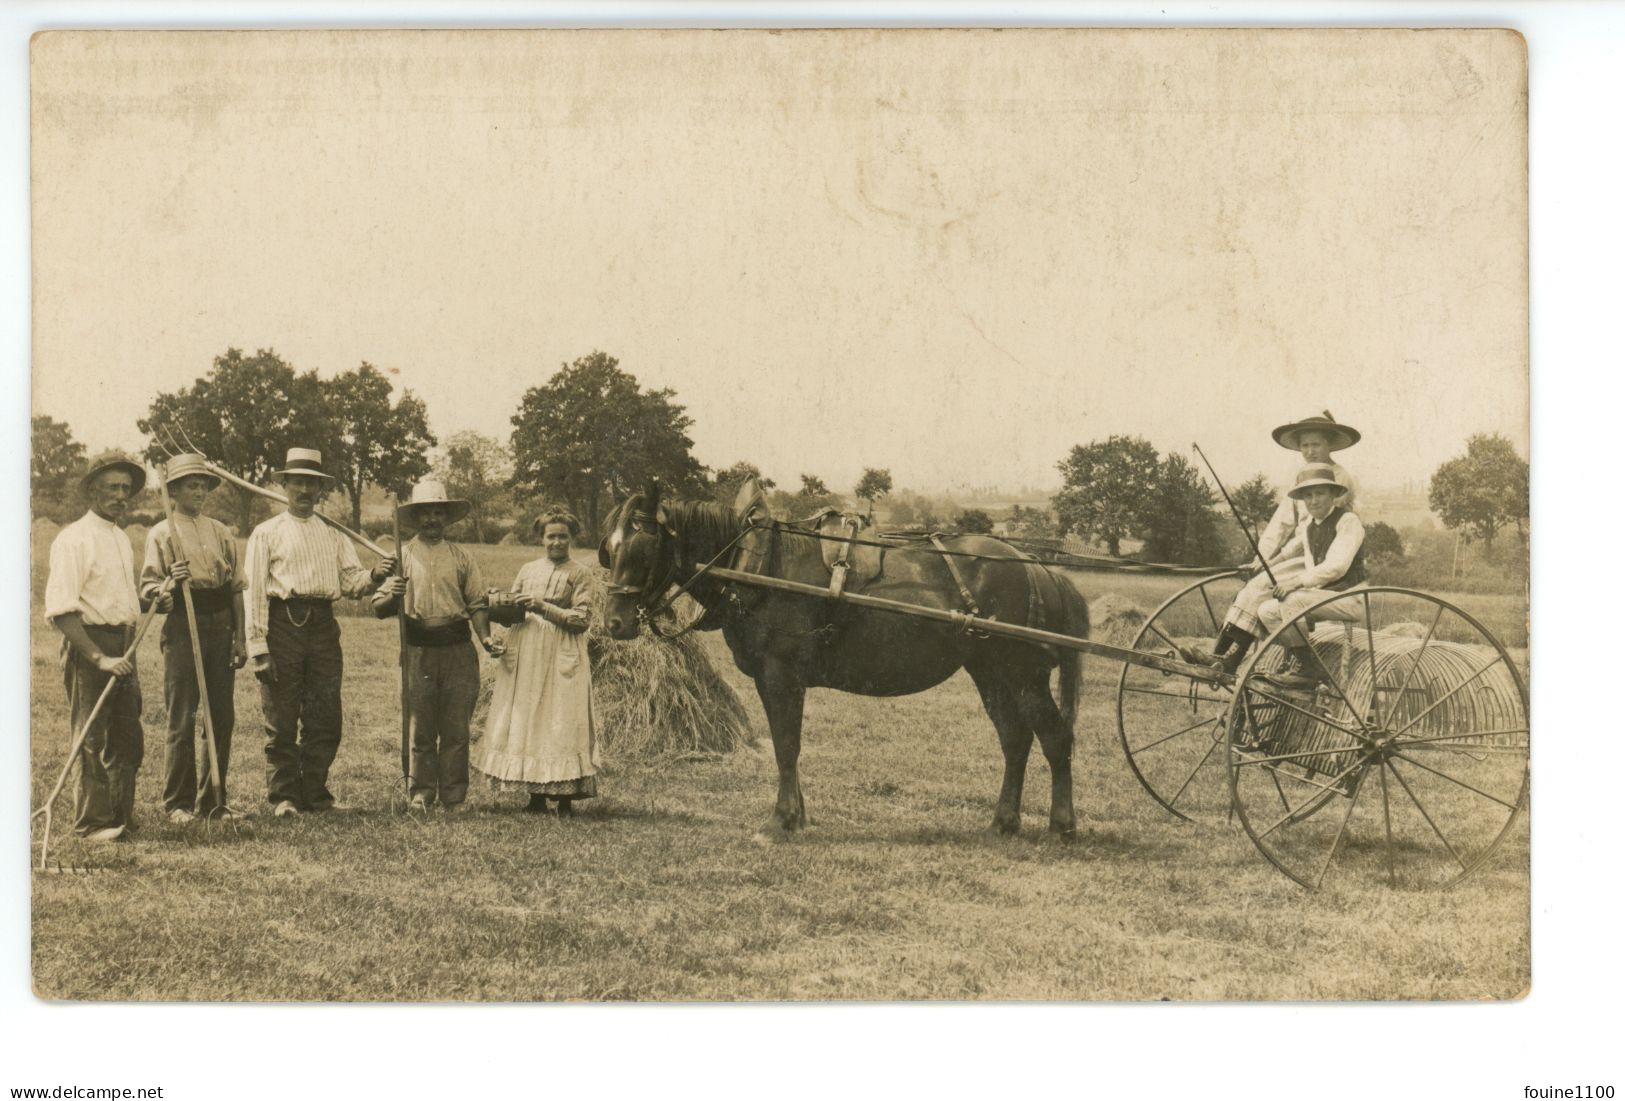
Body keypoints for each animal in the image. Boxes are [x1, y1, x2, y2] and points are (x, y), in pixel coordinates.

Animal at [604, 480, 1098, 837]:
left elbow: (786, 744)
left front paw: (781, 820)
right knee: (1015, 740)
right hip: (990, 672)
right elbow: (786, 744)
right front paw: (798, 815)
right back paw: (1003, 822)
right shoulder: (774, 679)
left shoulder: (780, 674)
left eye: (643, 548)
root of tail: (1039, 567)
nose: (614, 622)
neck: (756, 565)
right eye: (609, 550)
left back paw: (1062, 825)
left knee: (1055, 739)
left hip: (1023, 674)